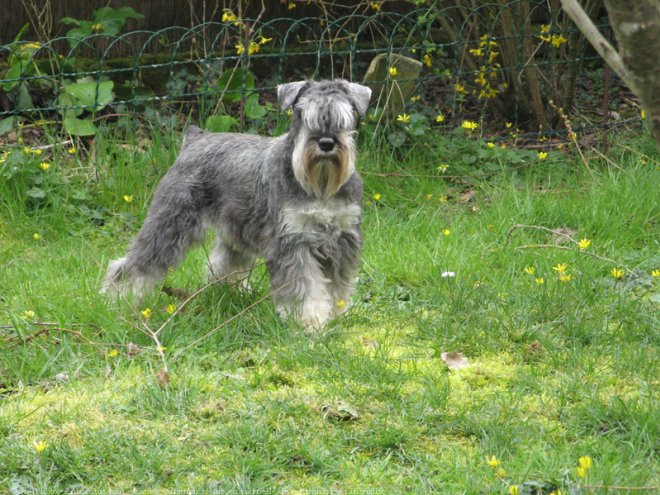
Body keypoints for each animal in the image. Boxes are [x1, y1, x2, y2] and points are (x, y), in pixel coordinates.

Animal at [103, 79, 372, 330]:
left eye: (345, 116)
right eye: (301, 115)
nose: (326, 142)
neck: (321, 185)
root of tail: (195, 139)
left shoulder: (344, 238)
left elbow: (338, 285)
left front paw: (338, 314)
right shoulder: (292, 241)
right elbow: (303, 286)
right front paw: (309, 323)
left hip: (237, 229)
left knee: (222, 264)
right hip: (170, 223)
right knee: (134, 264)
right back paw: (115, 301)